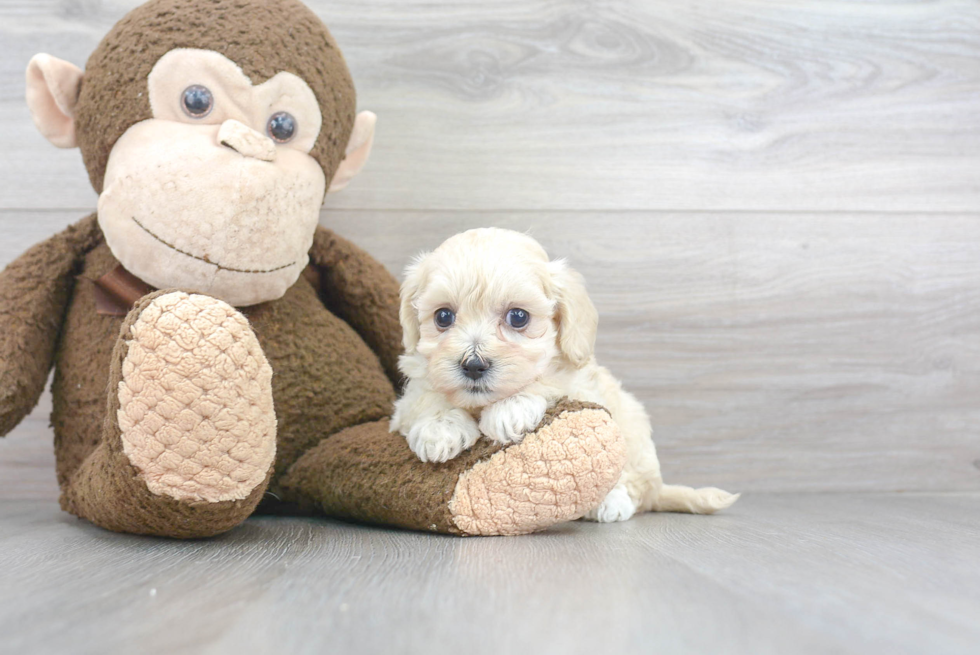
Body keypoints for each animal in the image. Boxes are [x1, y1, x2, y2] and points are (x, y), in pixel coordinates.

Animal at [388, 229, 736, 524]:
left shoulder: (580, 382)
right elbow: (427, 393)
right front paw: (440, 429)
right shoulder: (411, 388)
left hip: (633, 433)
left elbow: (547, 381)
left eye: (518, 317)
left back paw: (611, 502)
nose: (473, 365)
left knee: (631, 483)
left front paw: (508, 411)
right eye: (443, 316)